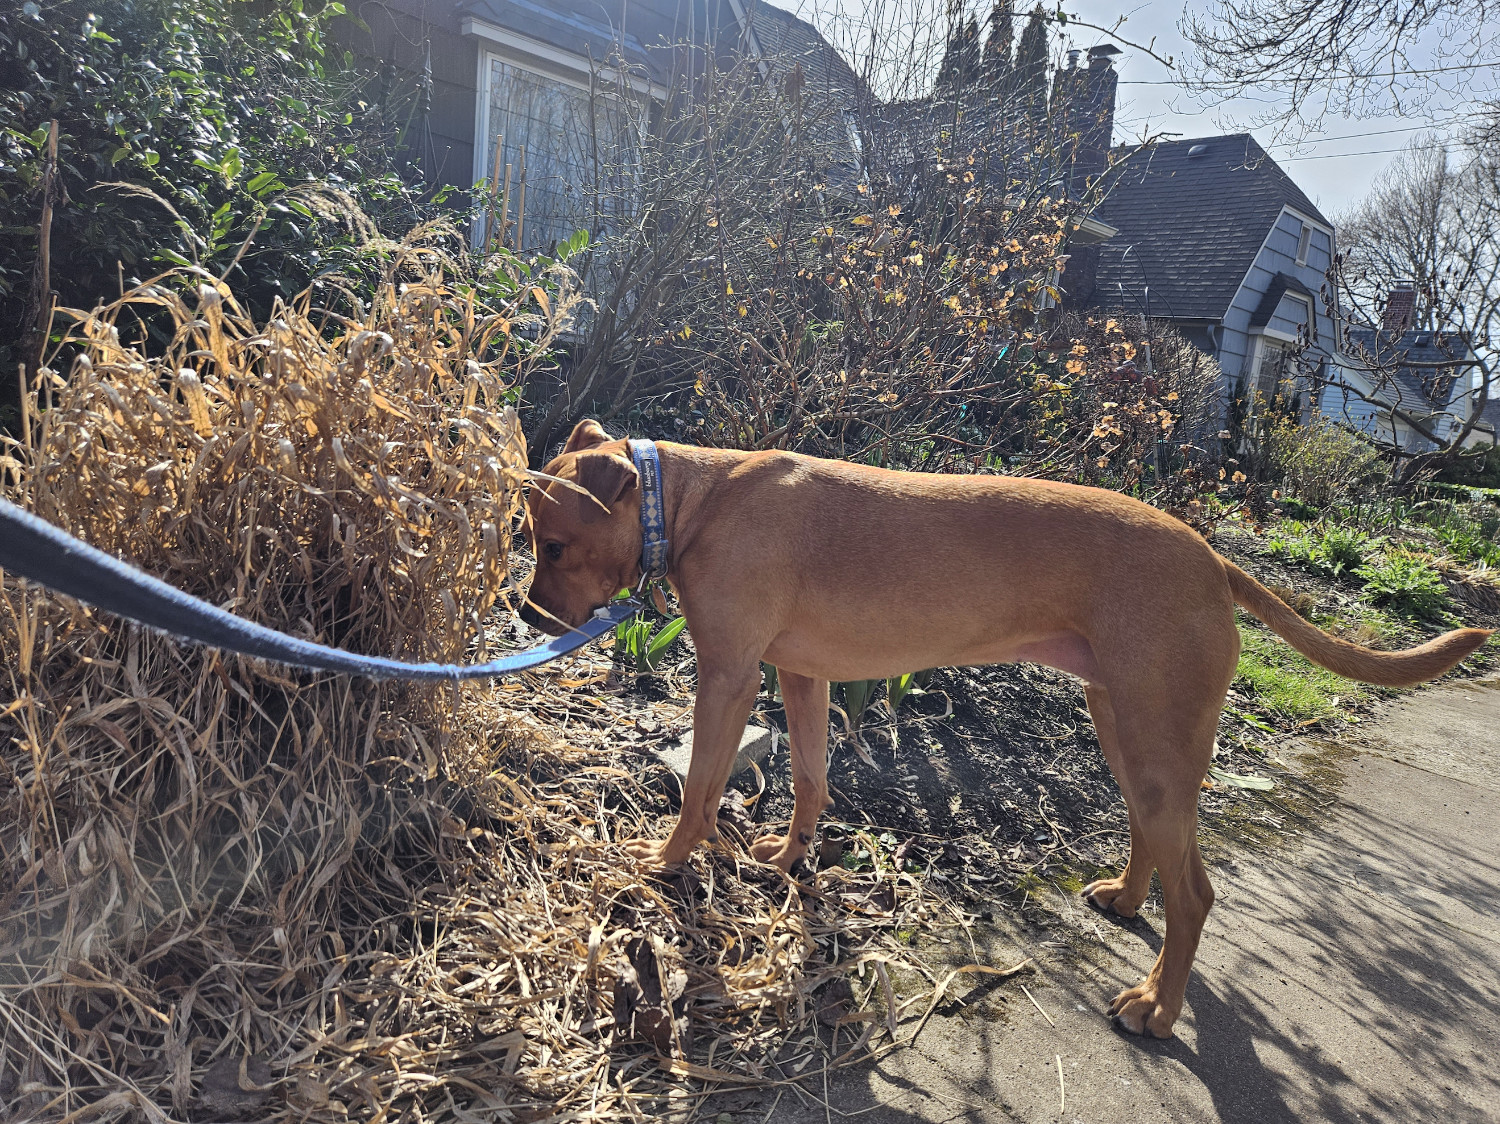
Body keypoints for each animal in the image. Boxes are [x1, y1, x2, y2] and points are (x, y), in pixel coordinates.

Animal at [519, 420, 1488, 1032]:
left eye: (552, 545)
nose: (526, 618)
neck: (692, 500)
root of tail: (1213, 557)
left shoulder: (727, 677)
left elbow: (701, 791)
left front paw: (664, 861)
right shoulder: (803, 676)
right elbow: (810, 778)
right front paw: (791, 859)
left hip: (1157, 744)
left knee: (1197, 894)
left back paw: (1157, 1006)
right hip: (1125, 726)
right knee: (1154, 844)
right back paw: (1125, 898)